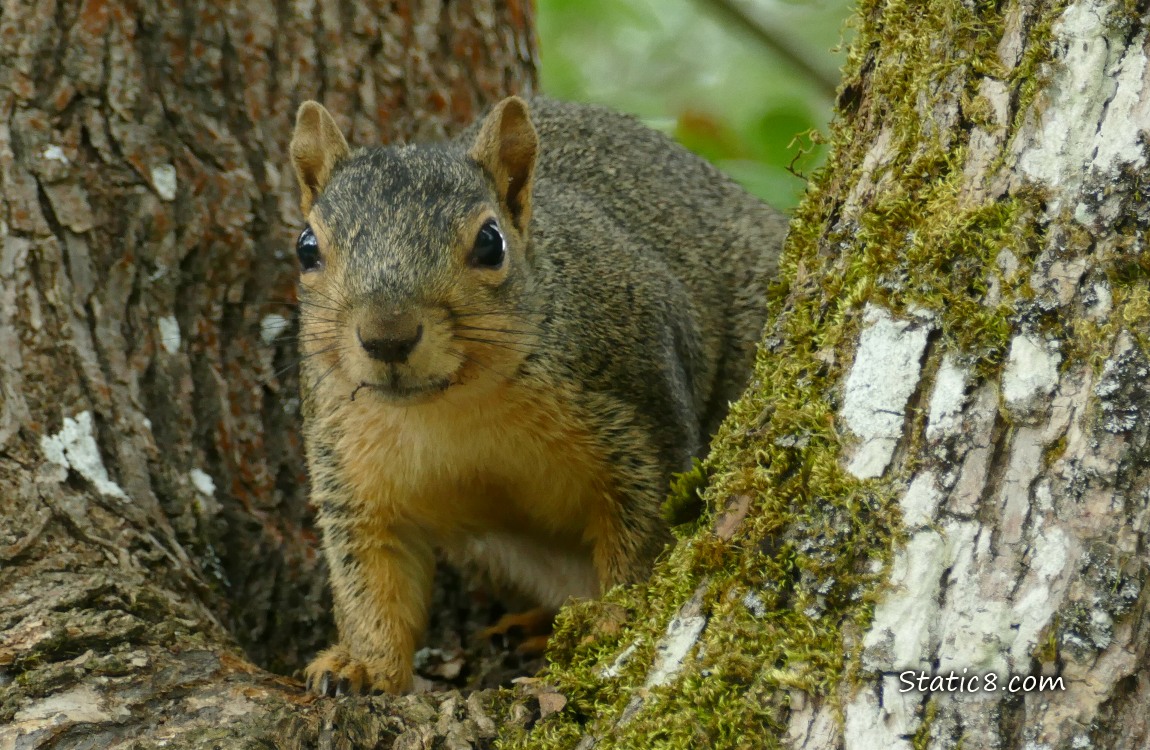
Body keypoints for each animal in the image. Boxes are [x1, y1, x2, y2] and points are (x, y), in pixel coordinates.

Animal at [288, 95, 785, 695]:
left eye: (490, 242)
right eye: (306, 249)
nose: (388, 336)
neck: (455, 406)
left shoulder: (640, 419)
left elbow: (644, 538)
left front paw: (613, 620)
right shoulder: (348, 465)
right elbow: (371, 578)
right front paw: (362, 665)